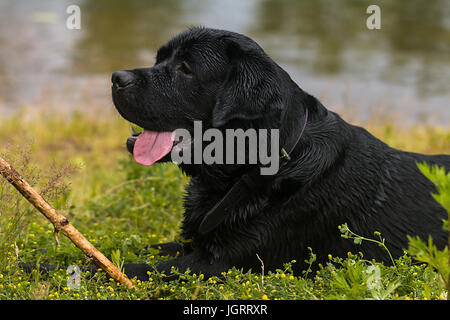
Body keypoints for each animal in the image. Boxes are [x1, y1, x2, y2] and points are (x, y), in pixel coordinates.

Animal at [22, 28, 448, 282]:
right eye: (161, 59)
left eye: (185, 68)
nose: (116, 77)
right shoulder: (193, 243)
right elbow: (126, 249)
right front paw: (41, 250)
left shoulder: (215, 263)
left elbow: (129, 266)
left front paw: (37, 265)